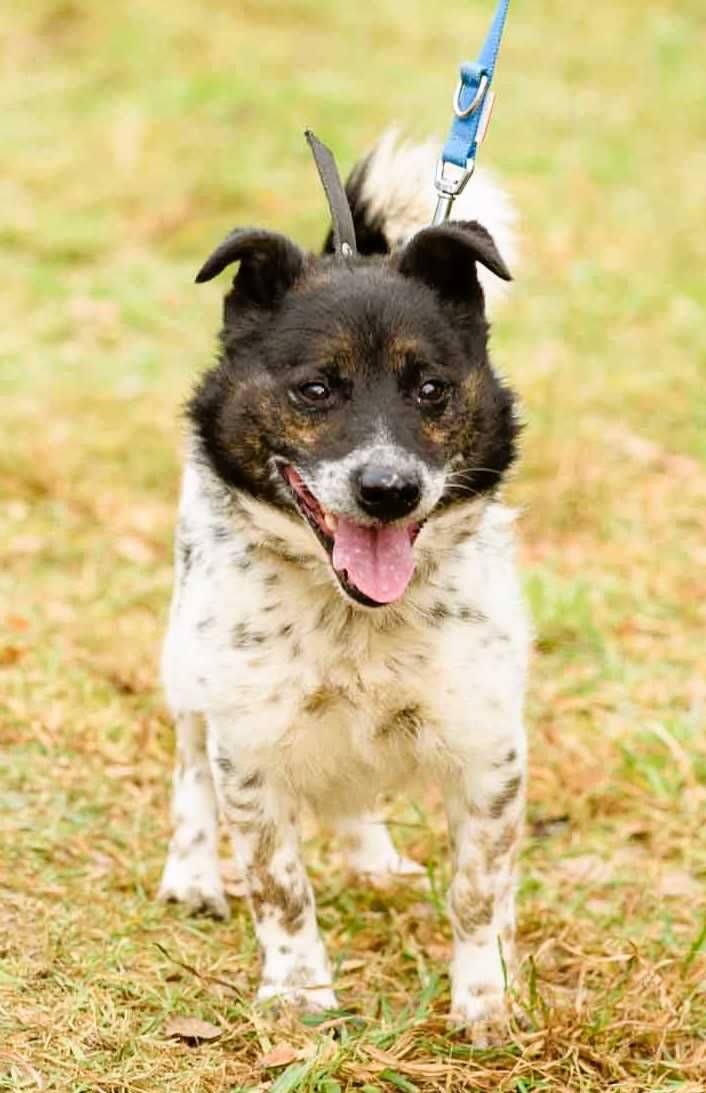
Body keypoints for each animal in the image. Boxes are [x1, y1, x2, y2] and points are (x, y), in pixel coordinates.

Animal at [157, 132, 528, 1027]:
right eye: (315, 388)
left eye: (431, 388)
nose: (388, 489)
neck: (356, 619)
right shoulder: (249, 752)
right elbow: (280, 887)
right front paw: (299, 992)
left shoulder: (490, 751)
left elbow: (478, 890)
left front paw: (485, 998)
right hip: (184, 661)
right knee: (188, 770)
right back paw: (191, 871)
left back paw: (373, 860)